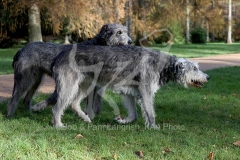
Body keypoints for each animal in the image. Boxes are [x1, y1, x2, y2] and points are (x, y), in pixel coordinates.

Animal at [49, 44, 210, 127]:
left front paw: (123, 120)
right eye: (194, 68)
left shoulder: (129, 93)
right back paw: (58, 125)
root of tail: (60, 54)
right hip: (69, 86)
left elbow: (134, 114)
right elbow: (150, 112)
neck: (164, 65)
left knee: (74, 103)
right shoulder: (145, 91)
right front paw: (154, 128)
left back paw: (85, 118)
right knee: (57, 108)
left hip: (86, 85)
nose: (208, 77)